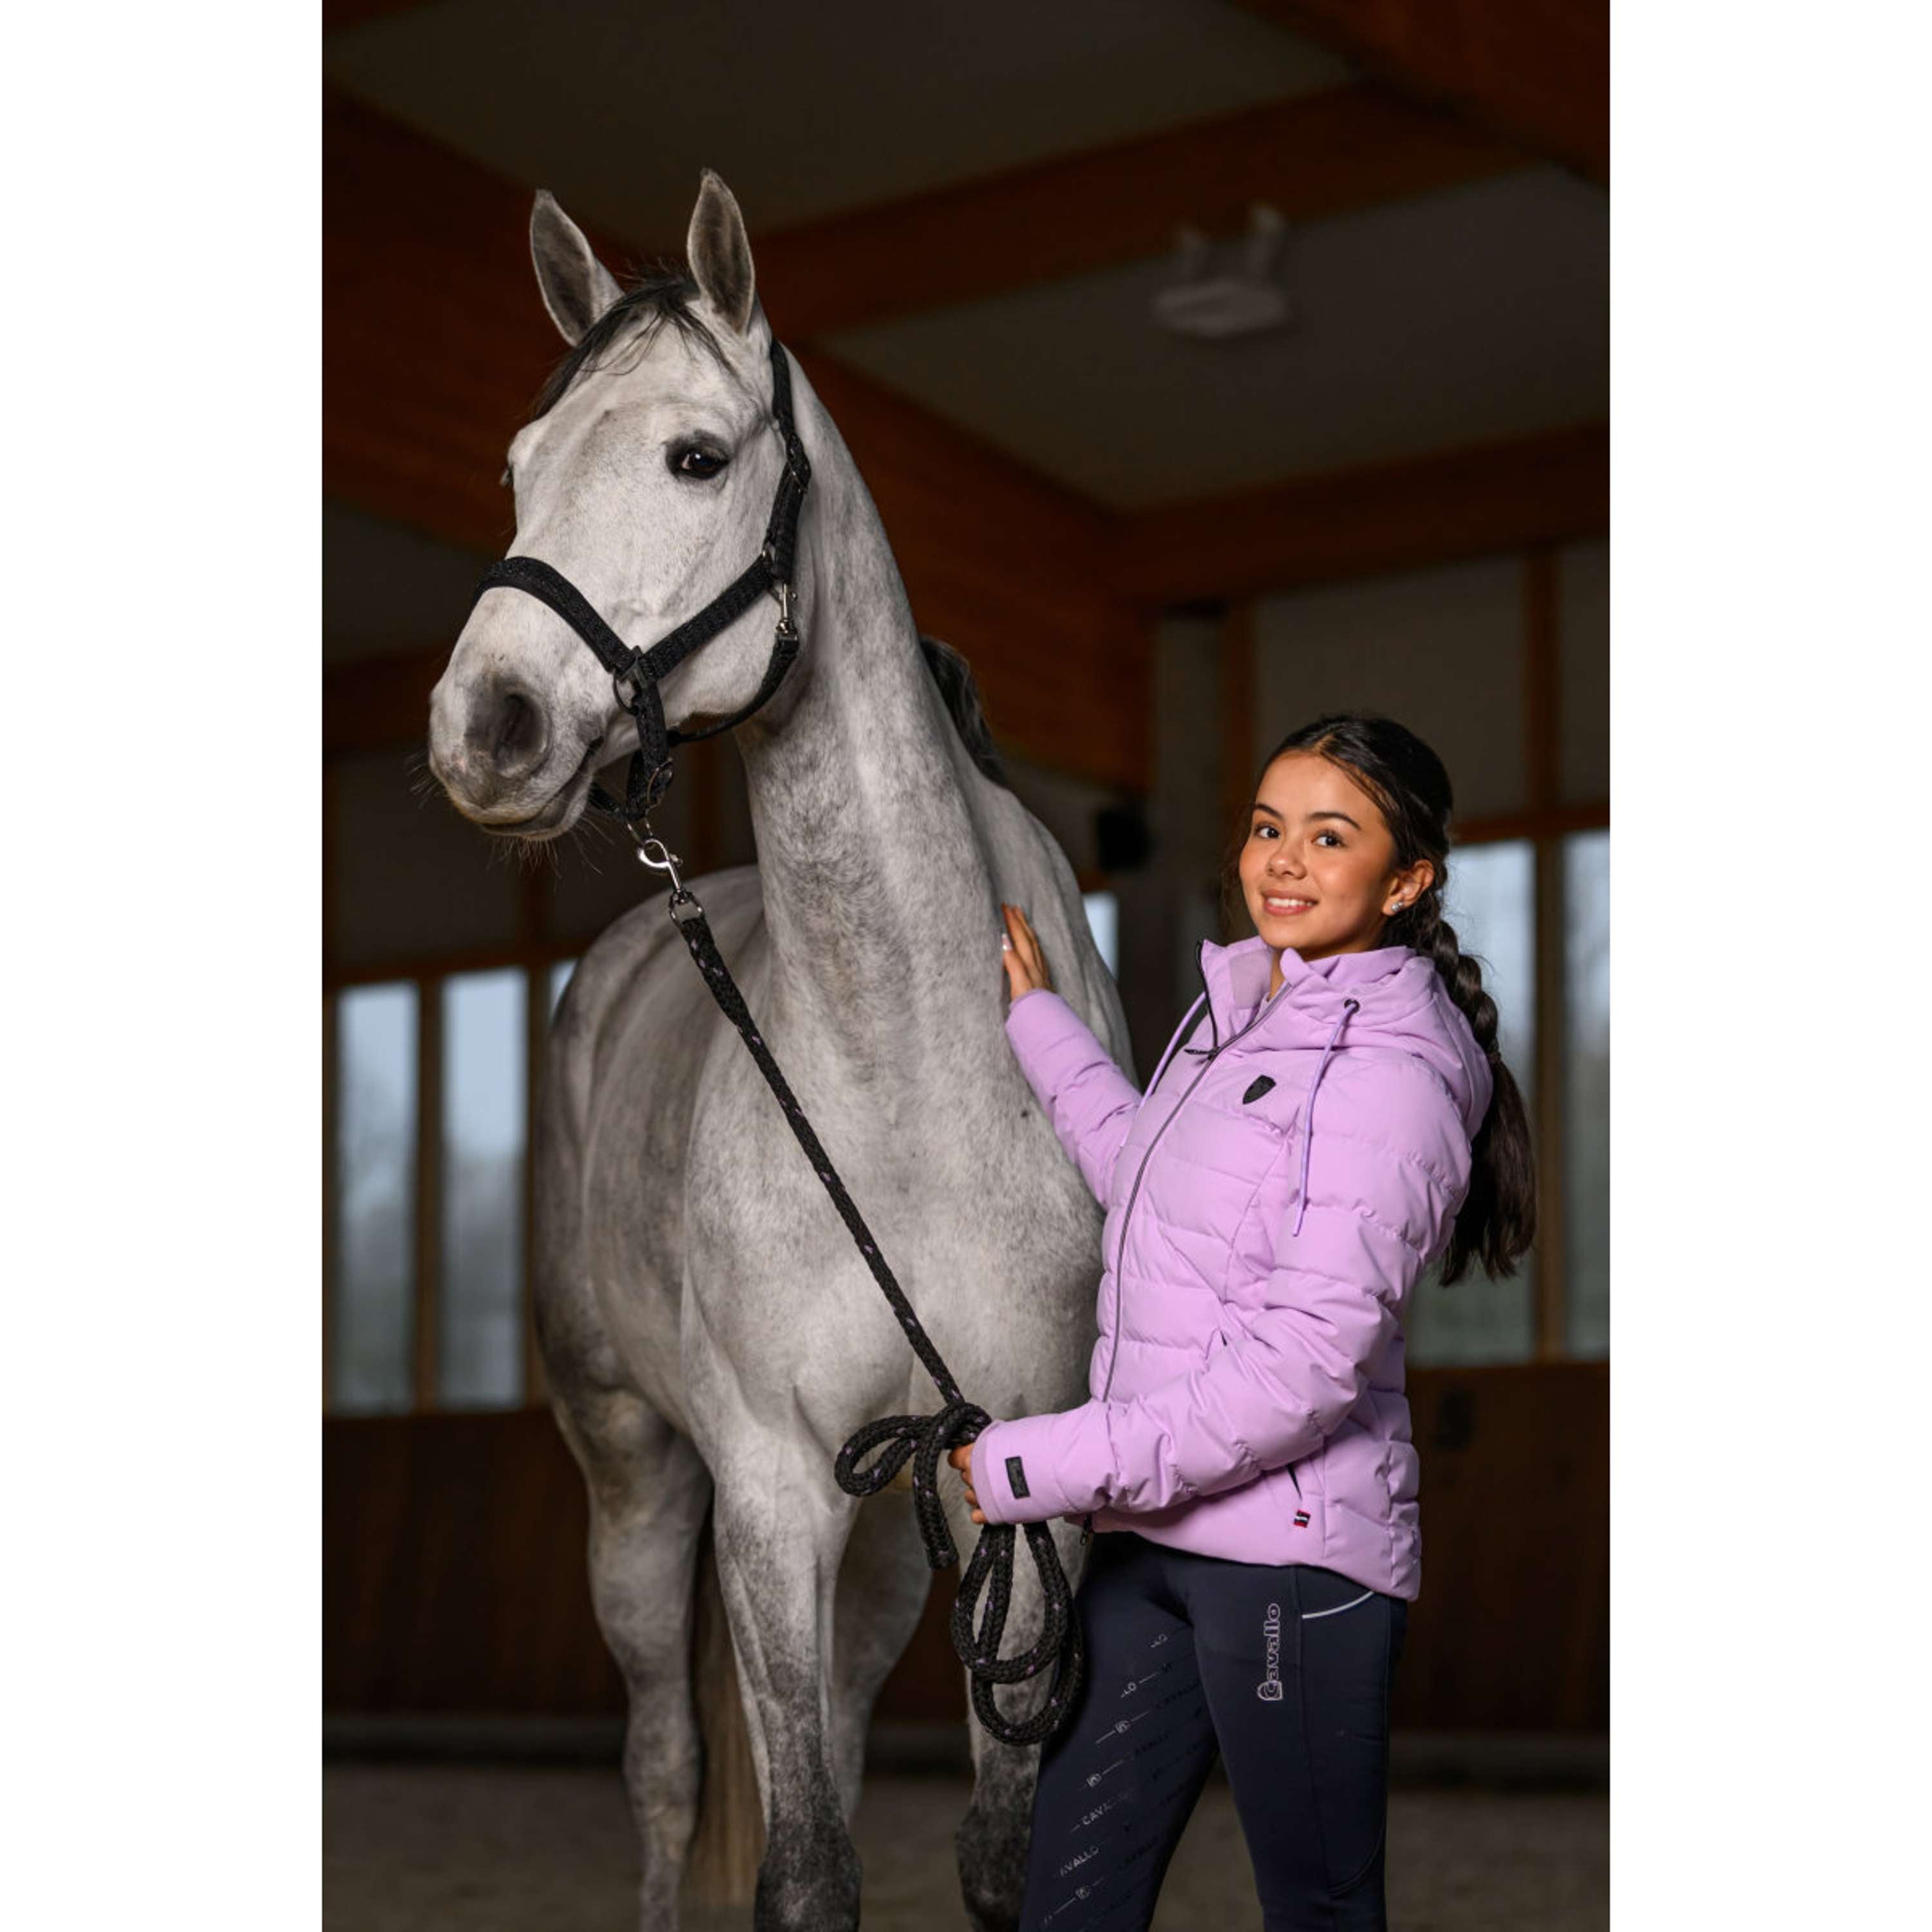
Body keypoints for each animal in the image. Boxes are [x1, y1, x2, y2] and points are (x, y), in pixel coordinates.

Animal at [426, 170, 1131, 1932]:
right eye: (520, 468)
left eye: (695, 456)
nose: (484, 726)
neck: (909, 1076)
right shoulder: (764, 1492)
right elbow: (802, 1867)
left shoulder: (1024, 1489)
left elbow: (998, 1851)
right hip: (635, 1485)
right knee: (670, 1771)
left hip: (888, 1547)